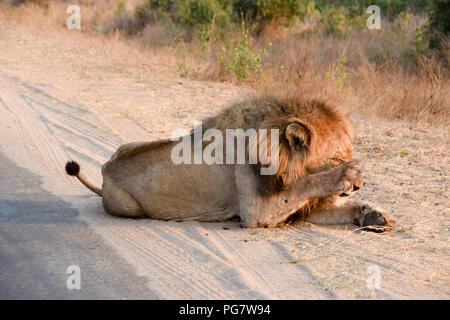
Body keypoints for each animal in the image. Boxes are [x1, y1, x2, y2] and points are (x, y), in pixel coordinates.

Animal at [64, 94, 394, 231]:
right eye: (338, 157)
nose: (362, 185)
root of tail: (105, 169)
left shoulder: (301, 207)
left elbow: (332, 205)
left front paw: (373, 214)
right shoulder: (256, 212)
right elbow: (304, 186)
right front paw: (347, 176)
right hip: (127, 207)